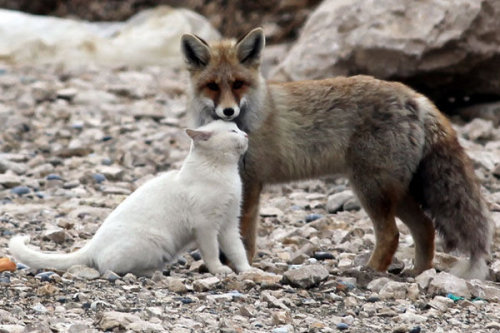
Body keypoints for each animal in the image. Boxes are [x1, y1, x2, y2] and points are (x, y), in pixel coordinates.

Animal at [10, 119, 254, 274]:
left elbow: (238, 251)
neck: (225, 173)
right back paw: (152, 272)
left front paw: (247, 271)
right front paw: (220, 270)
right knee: (109, 268)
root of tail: (92, 244)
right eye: (233, 132)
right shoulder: (206, 227)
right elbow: (212, 252)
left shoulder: (229, 224)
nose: (246, 134)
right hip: (155, 242)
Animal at [180, 27, 492, 278]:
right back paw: (419, 273)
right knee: (425, 227)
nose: (228, 111)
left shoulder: (252, 182)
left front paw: (240, 265)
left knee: (391, 235)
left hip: (371, 189)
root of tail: (416, 96)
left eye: (238, 84)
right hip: (394, 191)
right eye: (212, 86)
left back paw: (369, 272)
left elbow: (244, 236)